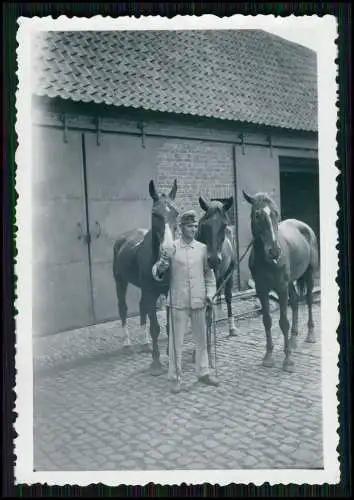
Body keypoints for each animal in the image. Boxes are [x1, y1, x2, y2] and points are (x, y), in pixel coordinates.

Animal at [112, 180, 180, 376]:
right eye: (155, 214)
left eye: (176, 212)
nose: (168, 250)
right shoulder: (150, 293)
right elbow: (156, 327)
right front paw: (156, 362)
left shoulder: (169, 293)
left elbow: (169, 326)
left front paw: (169, 355)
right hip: (120, 281)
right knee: (123, 309)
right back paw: (127, 344)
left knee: (142, 307)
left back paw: (145, 343)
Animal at [196, 195, 241, 336]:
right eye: (204, 225)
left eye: (224, 225)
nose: (214, 260)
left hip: (229, 273)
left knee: (227, 296)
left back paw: (231, 327)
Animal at [242, 190, 320, 372]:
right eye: (257, 215)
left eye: (276, 214)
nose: (275, 251)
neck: (266, 261)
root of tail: (303, 226)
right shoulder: (261, 290)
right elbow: (267, 321)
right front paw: (268, 357)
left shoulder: (281, 288)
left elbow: (283, 322)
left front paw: (287, 361)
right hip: (290, 283)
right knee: (296, 301)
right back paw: (293, 340)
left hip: (309, 275)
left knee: (308, 300)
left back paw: (310, 336)